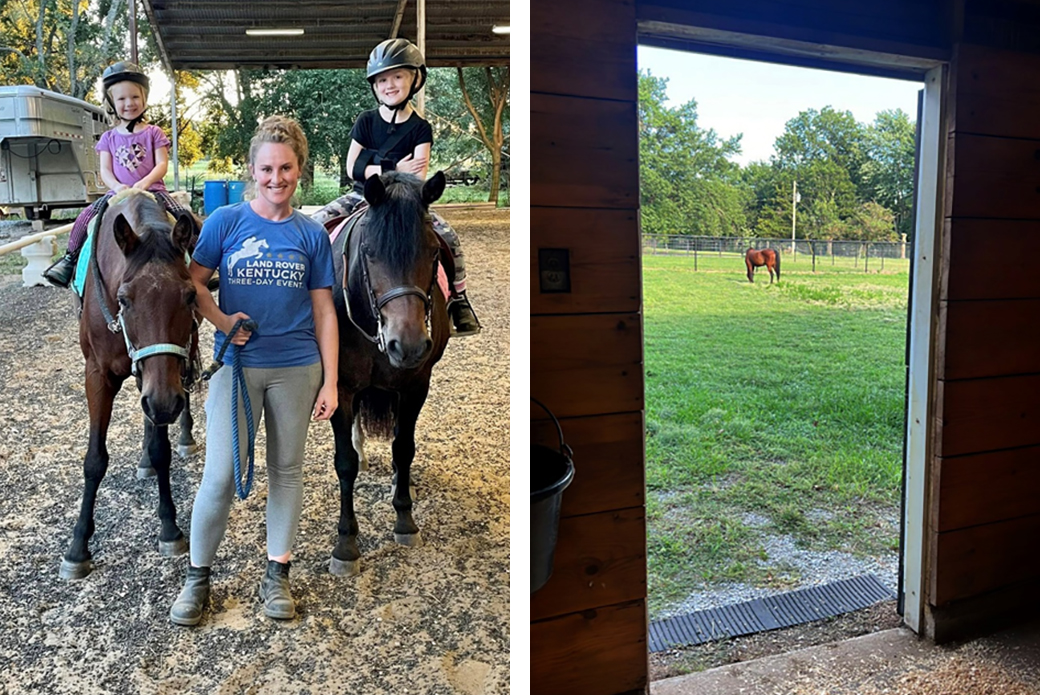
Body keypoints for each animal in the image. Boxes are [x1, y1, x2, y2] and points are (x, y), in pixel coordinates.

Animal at [59, 188, 197, 582]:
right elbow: (94, 460)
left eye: (190, 296)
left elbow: (162, 449)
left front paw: (169, 528)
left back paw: (183, 437)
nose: (164, 404)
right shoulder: (98, 376)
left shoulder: (165, 376)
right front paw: (78, 546)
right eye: (123, 299)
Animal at [324, 170, 451, 578]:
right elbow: (345, 462)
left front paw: (405, 519)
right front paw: (346, 543)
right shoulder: (341, 388)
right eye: (369, 251)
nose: (407, 345)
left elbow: (404, 448)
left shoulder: (415, 386)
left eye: (434, 253)